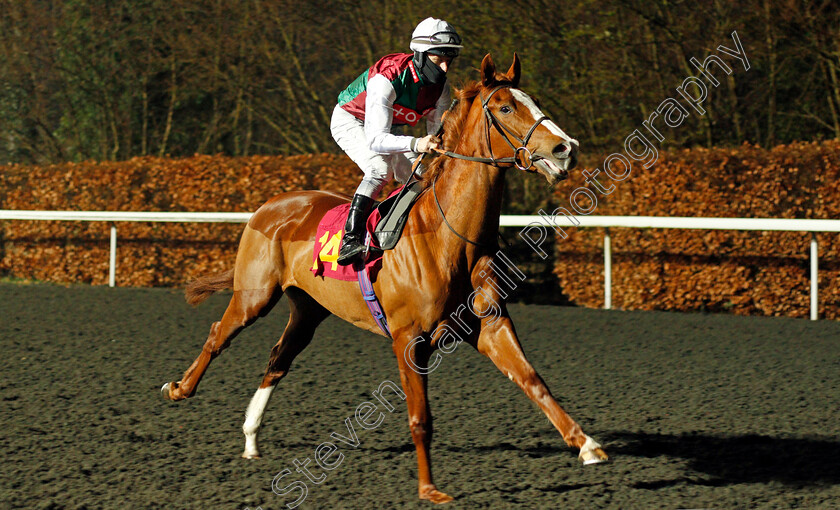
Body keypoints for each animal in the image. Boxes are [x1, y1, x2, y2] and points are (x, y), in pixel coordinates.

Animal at [161, 53, 608, 504]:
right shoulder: (409, 338)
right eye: (504, 107)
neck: (450, 236)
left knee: (278, 358)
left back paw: (252, 438)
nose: (565, 148)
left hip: (308, 309)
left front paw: (586, 444)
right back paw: (180, 389)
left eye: (533, 101)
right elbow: (419, 416)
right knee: (219, 334)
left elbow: (532, 380)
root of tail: (270, 205)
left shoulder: (490, 324)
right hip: (255, 295)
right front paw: (429, 488)